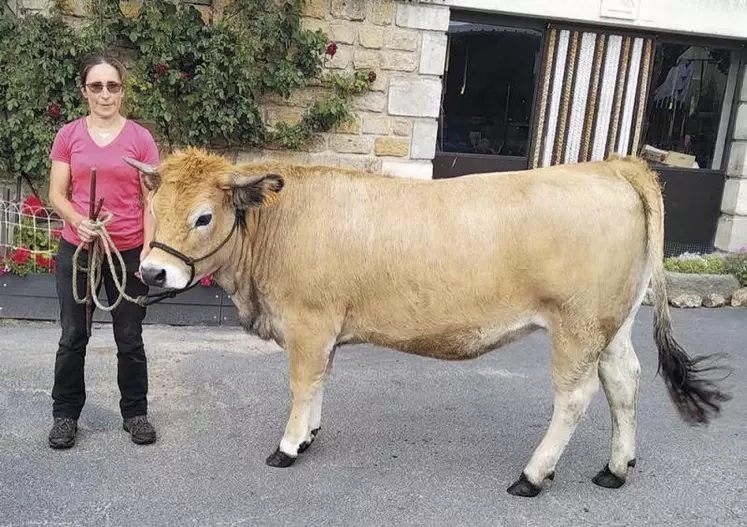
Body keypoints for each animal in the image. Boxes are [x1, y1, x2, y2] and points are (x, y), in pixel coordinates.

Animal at [124, 150, 732, 500]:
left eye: (204, 216)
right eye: (155, 209)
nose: (151, 271)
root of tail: (610, 165)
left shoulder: (309, 322)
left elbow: (301, 384)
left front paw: (290, 445)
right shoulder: (325, 330)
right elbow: (320, 382)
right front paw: (312, 433)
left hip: (576, 325)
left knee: (576, 396)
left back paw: (532, 476)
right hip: (611, 324)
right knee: (624, 381)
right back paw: (616, 467)